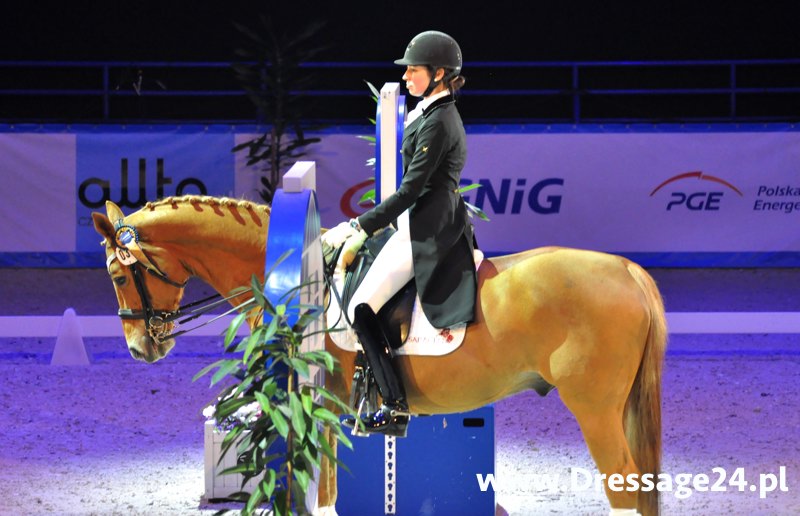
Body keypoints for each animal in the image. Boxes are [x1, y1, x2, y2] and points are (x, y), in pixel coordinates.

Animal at [92, 195, 667, 516]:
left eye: (118, 275)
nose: (142, 347)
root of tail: (626, 270)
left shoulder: (313, 402)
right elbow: (328, 486)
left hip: (594, 408)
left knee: (623, 485)